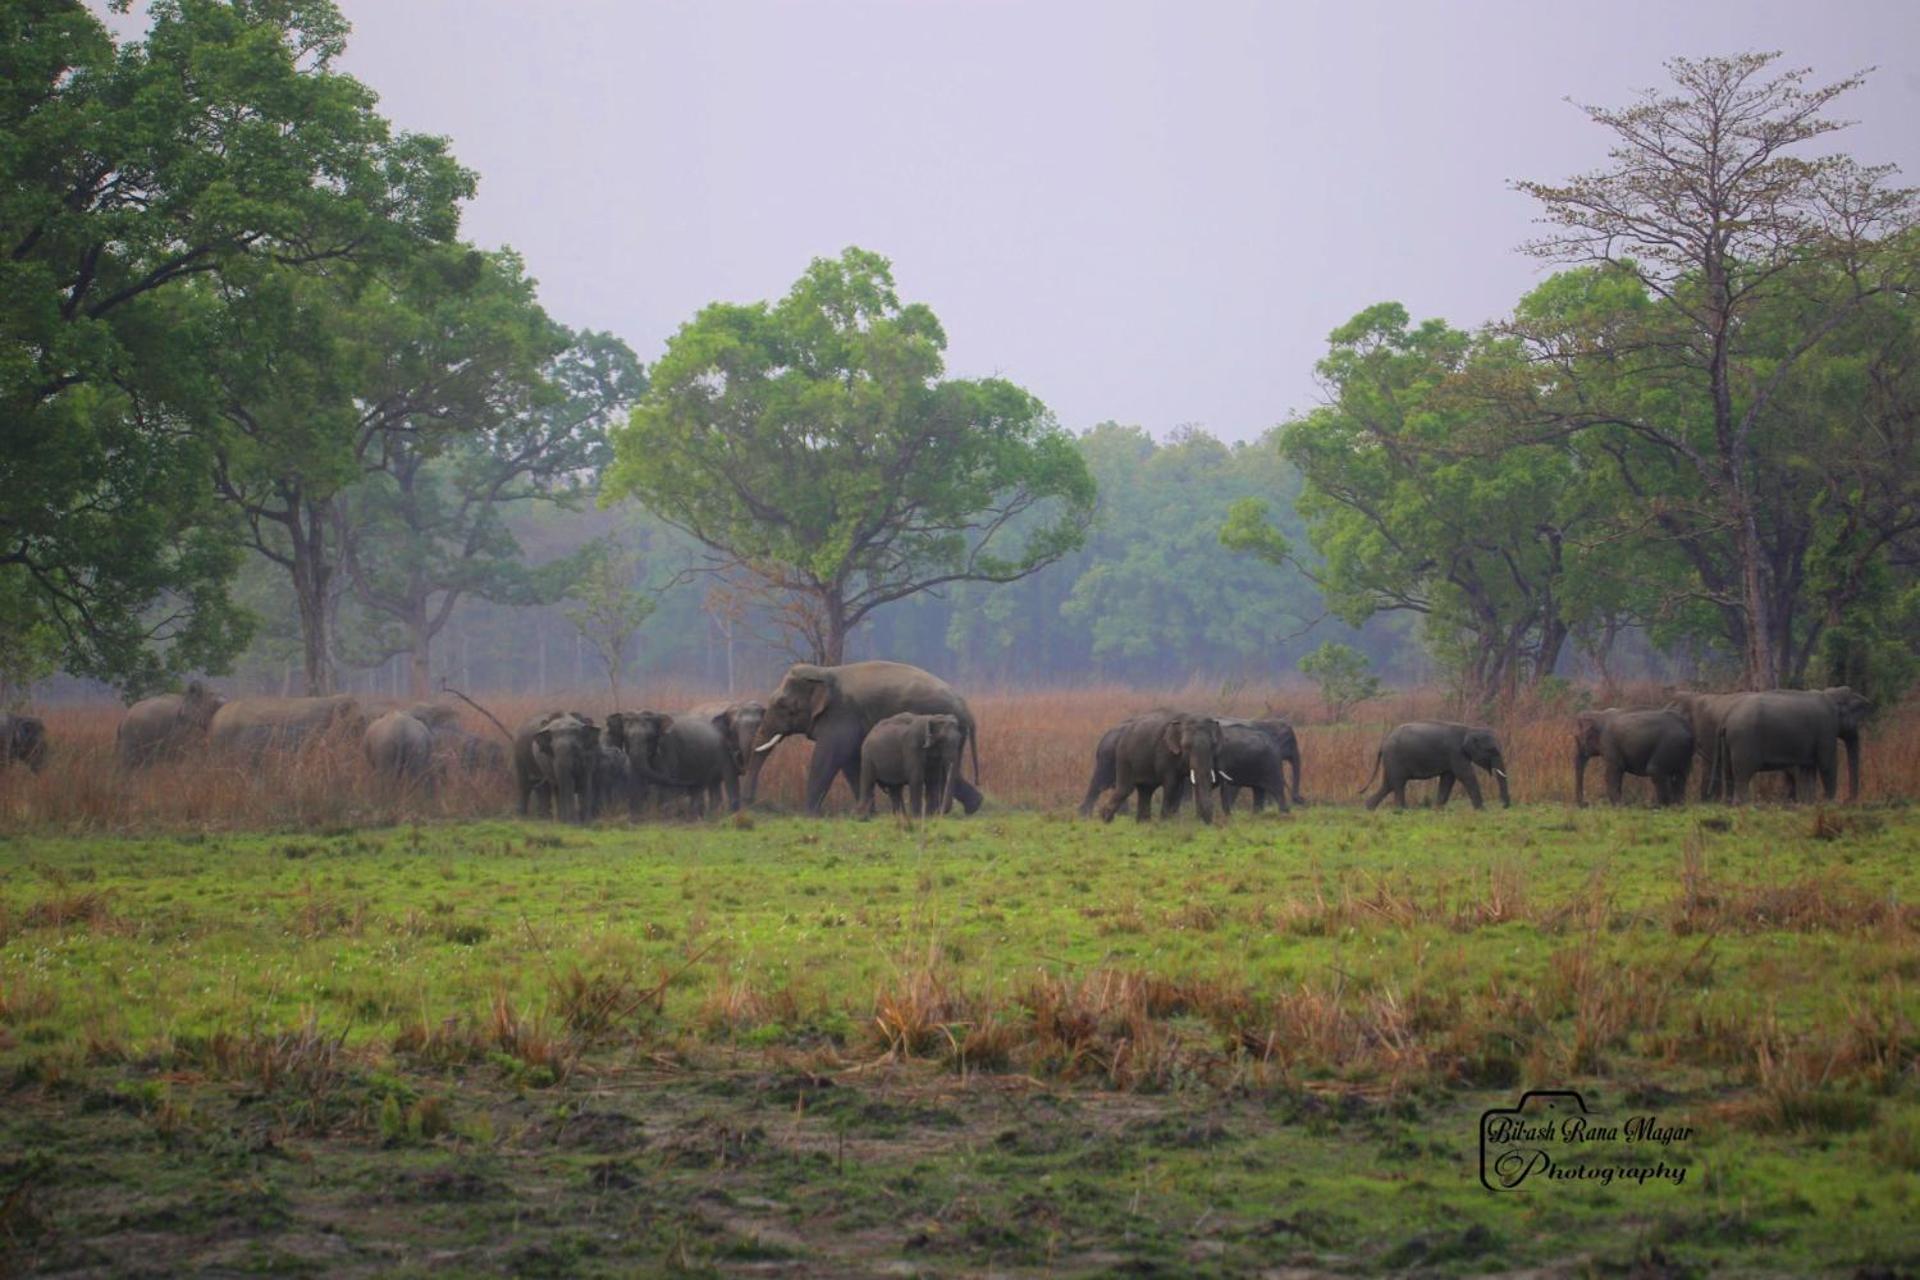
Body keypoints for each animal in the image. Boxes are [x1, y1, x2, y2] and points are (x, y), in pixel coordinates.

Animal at [606, 706, 741, 817]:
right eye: (626, 736)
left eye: (650, 737)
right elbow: (635, 780)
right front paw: (636, 817)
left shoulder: (668, 747)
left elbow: (665, 780)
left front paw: (665, 817)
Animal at [741, 667, 983, 817]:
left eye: (782, 705)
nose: (750, 802)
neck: (823, 670)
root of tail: (967, 709)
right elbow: (850, 762)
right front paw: (867, 812)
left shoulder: (841, 715)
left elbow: (827, 759)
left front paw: (809, 814)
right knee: (950, 771)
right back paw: (973, 806)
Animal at [1359, 721, 1505, 809]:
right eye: (1492, 750)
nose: (1505, 806)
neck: (1470, 729)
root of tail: (1383, 743)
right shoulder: (1456, 753)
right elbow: (1466, 776)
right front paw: (1482, 811)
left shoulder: (1451, 757)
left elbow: (1448, 779)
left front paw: (1438, 809)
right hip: (1394, 758)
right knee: (1398, 783)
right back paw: (1402, 811)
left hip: (1391, 761)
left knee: (1388, 784)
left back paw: (1369, 808)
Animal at [1720, 687, 1866, 805]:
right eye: (1855, 715)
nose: (1848, 800)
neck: (1829, 694)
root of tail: (1727, 720)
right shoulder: (1827, 728)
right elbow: (1826, 764)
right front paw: (1829, 803)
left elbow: (1809, 768)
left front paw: (1809, 803)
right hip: (1744, 741)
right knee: (1743, 773)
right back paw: (1742, 804)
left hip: (1730, 743)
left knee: (1728, 771)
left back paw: (1729, 803)